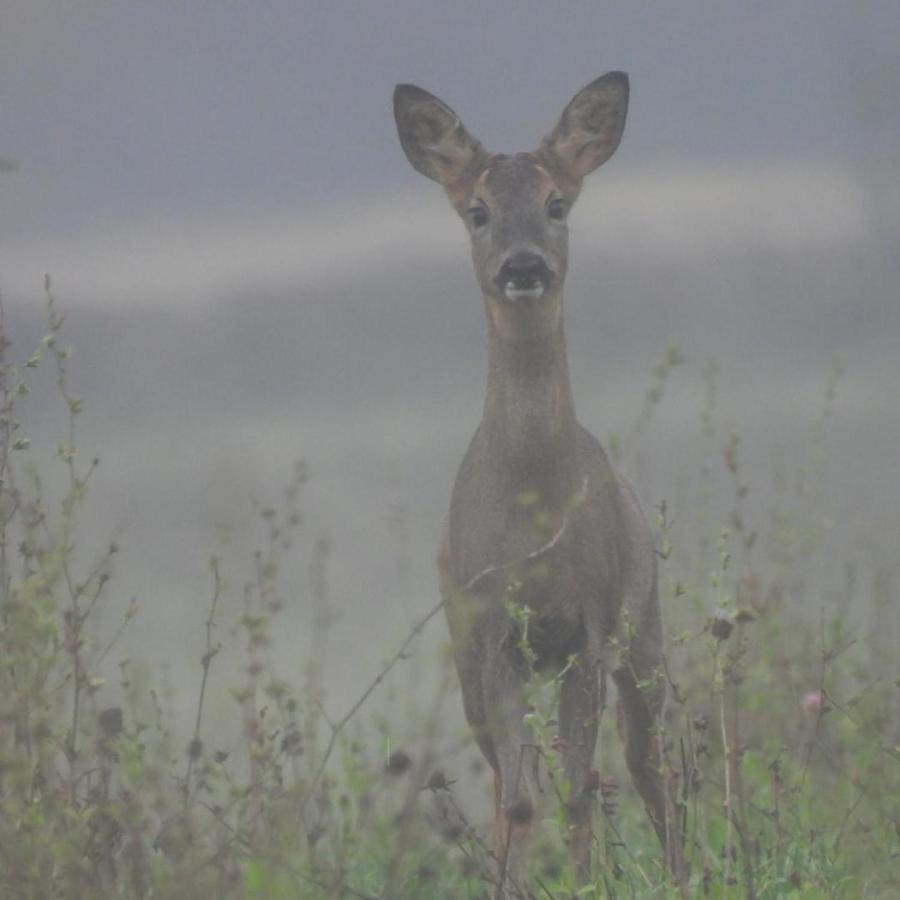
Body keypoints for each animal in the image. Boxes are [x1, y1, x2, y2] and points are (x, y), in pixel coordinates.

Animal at [394, 74, 684, 896]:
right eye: (477, 210)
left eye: (558, 204)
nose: (522, 266)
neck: (533, 517)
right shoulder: (493, 634)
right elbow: (520, 799)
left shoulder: (585, 627)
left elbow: (581, 785)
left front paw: (587, 883)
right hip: (476, 663)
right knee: (514, 781)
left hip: (642, 627)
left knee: (650, 764)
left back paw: (682, 871)